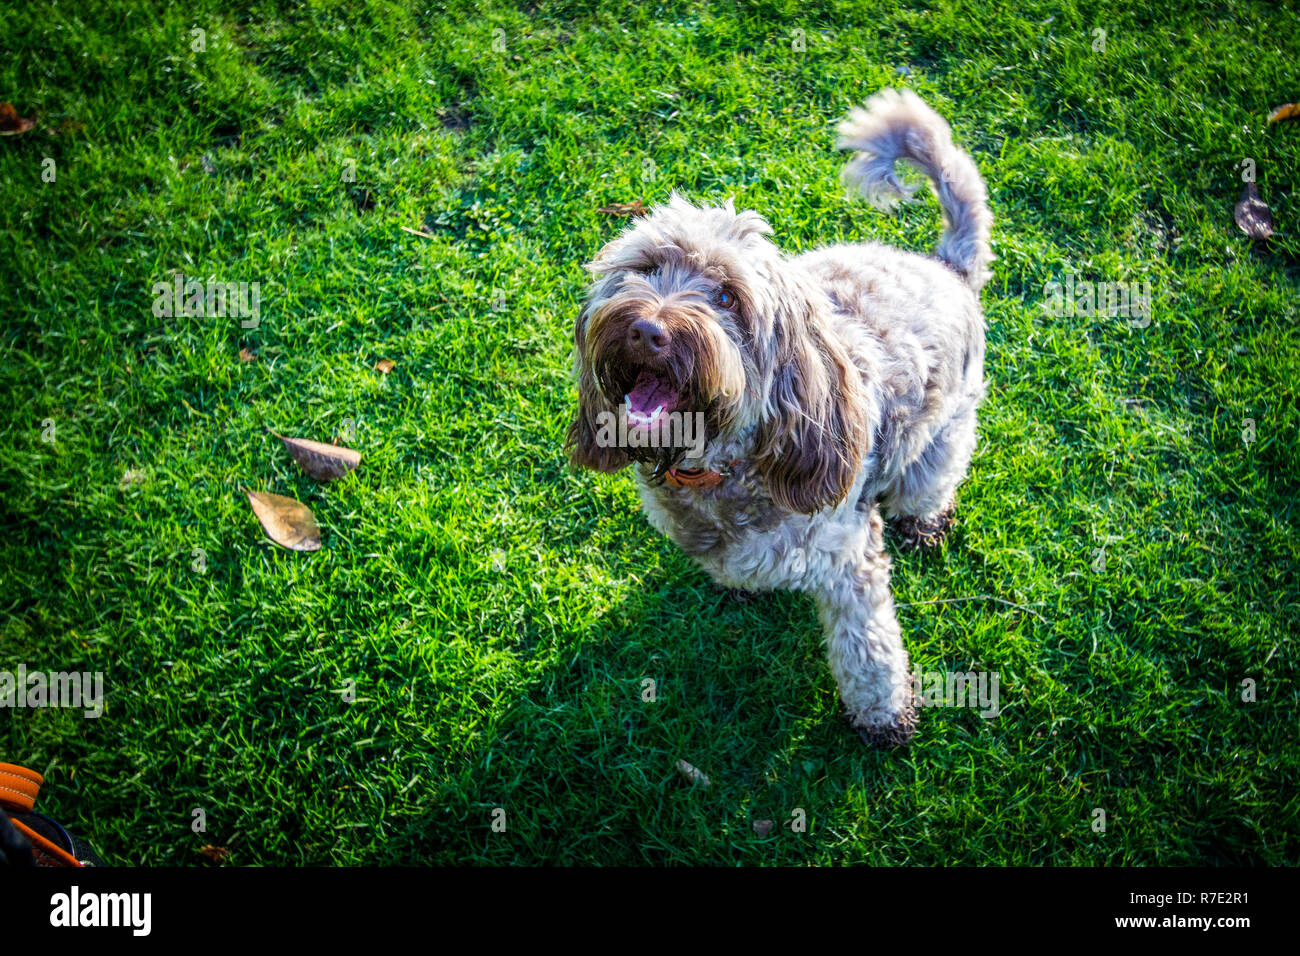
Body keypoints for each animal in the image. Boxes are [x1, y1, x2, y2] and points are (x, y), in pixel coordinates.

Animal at [564, 91, 987, 749]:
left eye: (727, 297)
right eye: (646, 269)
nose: (647, 330)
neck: (718, 469)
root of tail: (947, 267)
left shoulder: (849, 562)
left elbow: (868, 651)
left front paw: (884, 716)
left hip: (945, 432)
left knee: (930, 482)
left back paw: (924, 522)